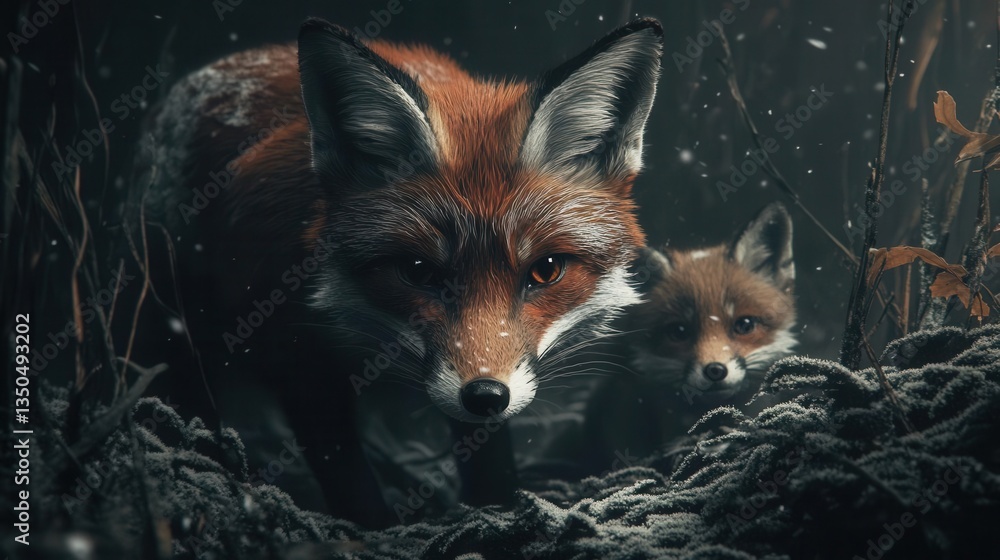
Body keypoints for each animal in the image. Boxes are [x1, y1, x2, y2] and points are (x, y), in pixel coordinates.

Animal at [133, 18, 663, 525]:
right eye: (417, 271)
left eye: (546, 270)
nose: (485, 396)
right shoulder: (298, 361)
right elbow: (349, 479)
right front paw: (376, 531)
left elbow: (488, 461)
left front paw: (497, 509)